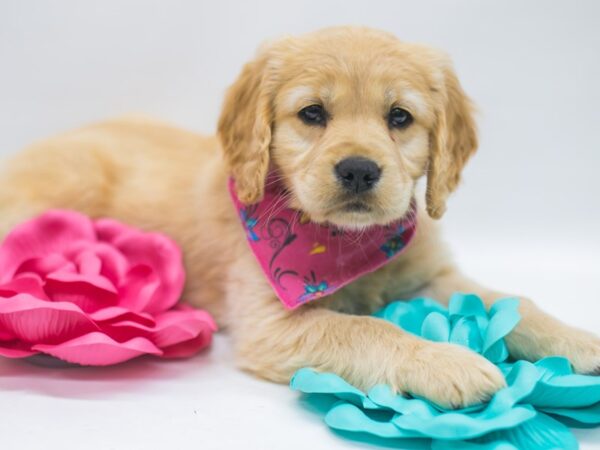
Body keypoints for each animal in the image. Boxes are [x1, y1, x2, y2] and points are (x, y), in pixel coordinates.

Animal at [1, 26, 600, 410]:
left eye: (399, 117)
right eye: (312, 113)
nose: (359, 170)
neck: (345, 242)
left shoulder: (431, 275)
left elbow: (511, 301)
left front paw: (576, 339)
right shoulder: (273, 322)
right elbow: (367, 328)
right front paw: (447, 362)